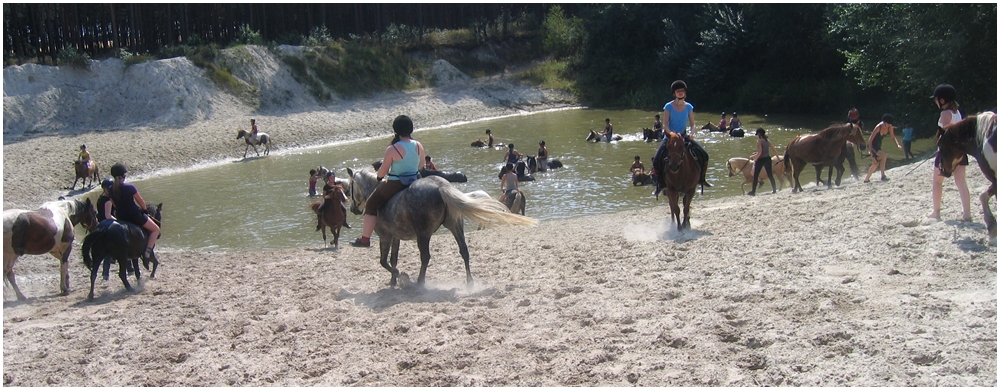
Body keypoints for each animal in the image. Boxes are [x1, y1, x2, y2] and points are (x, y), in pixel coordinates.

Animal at [348, 166, 536, 288]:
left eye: (349, 187)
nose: (353, 210)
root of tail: (441, 186)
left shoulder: (385, 236)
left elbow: (384, 261)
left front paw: (402, 278)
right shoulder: (395, 237)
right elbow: (393, 259)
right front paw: (393, 281)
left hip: (424, 234)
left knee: (425, 257)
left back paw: (419, 283)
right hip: (455, 226)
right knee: (464, 251)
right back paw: (469, 282)